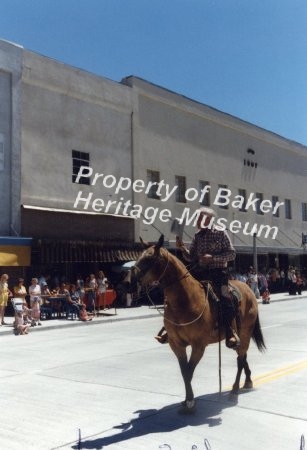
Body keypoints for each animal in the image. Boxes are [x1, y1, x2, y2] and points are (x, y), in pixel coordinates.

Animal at [135, 234, 268, 414]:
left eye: (150, 258)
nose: (131, 279)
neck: (185, 301)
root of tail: (248, 290)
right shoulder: (176, 345)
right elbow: (184, 372)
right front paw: (186, 400)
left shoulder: (198, 345)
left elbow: (189, 371)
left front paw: (190, 402)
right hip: (239, 337)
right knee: (242, 355)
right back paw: (248, 381)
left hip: (245, 332)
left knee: (240, 359)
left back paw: (234, 389)